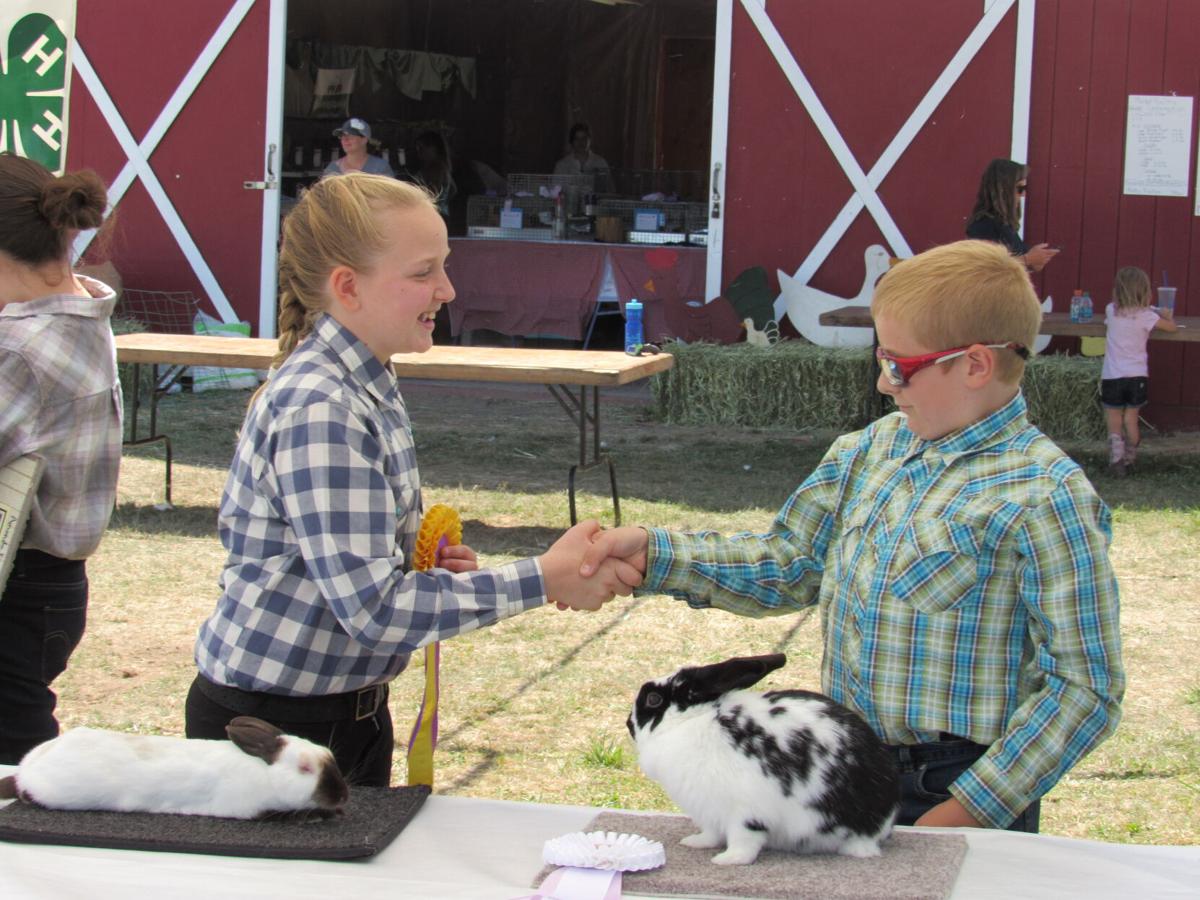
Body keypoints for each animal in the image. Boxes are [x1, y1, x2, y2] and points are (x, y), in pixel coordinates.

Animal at [2, 720, 350, 825]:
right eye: (305, 769)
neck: (265, 773)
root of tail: (27, 769)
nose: (343, 795)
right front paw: (322, 815)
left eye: (330, 755)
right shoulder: (250, 808)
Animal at [628, 657, 902, 868]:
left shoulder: (745, 812)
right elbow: (712, 834)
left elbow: (744, 841)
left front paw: (728, 860)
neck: (689, 722)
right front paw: (695, 842)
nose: (628, 723)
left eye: (653, 699)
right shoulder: (710, 812)